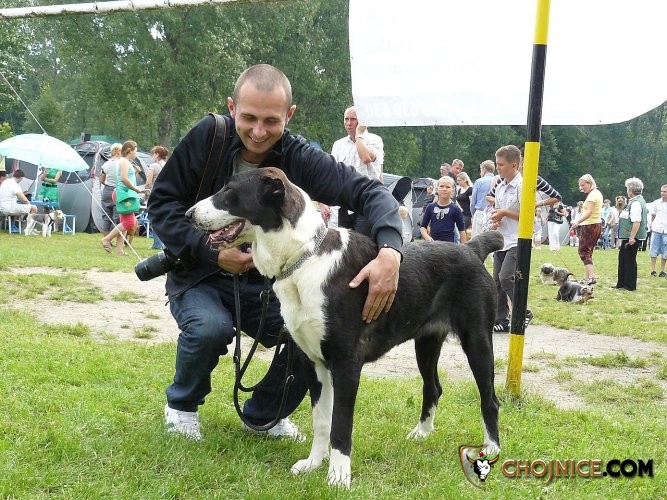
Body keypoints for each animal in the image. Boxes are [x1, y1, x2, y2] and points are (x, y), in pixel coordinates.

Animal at [187, 167, 503, 488]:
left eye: (229, 190)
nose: (189, 214)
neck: (304, 259)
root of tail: (471, 249)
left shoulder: (346, 363)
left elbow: (340, 423)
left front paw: (339, 475)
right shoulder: (312, 362)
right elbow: (321, 420)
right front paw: (314, 463)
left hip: (477, 340)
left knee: (489, 398)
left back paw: (491, 449)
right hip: (426, 342)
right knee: (433, 386)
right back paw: (421, 434)